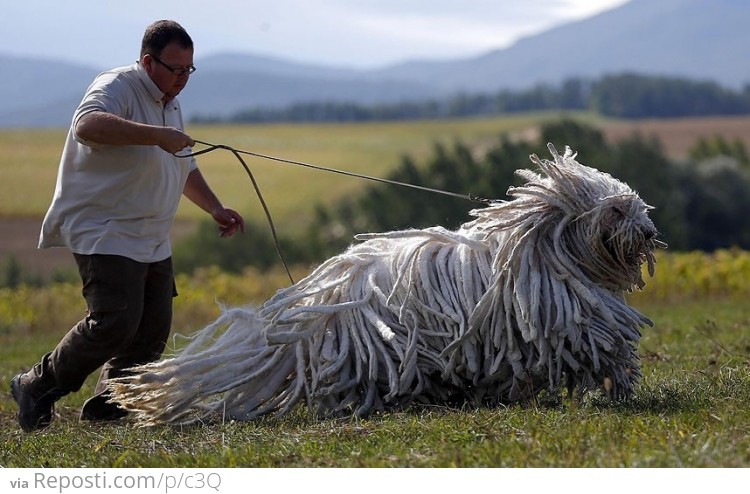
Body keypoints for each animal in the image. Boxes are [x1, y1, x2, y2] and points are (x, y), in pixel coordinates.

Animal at [110, 143, 664, 424]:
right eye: (616, 210)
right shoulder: (568, 320)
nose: (648, 232)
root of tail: (317, 299)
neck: (544, 249)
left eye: (636, 204)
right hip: (380, 345)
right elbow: (603, 345)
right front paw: (620, 384)